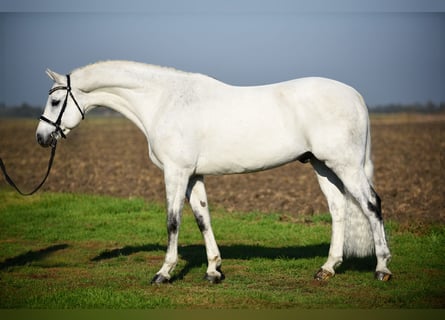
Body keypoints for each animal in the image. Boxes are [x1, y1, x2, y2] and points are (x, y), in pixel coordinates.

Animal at [36, 60, 390, 282]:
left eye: (54, 102)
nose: (41, 138)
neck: (164, 101)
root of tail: (355, 96)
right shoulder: (193, 176)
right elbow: (202, 219)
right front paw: (213, 270)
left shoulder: (176, 173)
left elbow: (173, 221)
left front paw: (164, 273)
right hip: (322, 166)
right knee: (339, 210)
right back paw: (327, 269)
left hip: (345, 165)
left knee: (372, 205)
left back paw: (382, 269)